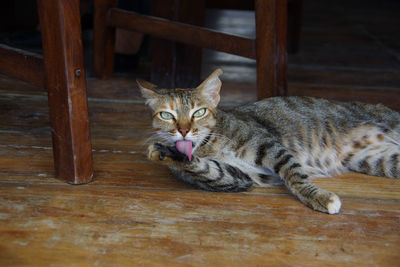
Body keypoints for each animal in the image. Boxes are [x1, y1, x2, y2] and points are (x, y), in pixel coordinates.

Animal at [138, 69, 400, 216]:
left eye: (199, 112)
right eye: (166, 115)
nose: (183, 131)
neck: (208, 145)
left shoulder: (269, 146)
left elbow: (295, 175)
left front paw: (318, 197)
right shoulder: (235, 177)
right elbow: (206, 169)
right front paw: (166, 152)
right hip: (380, 161)